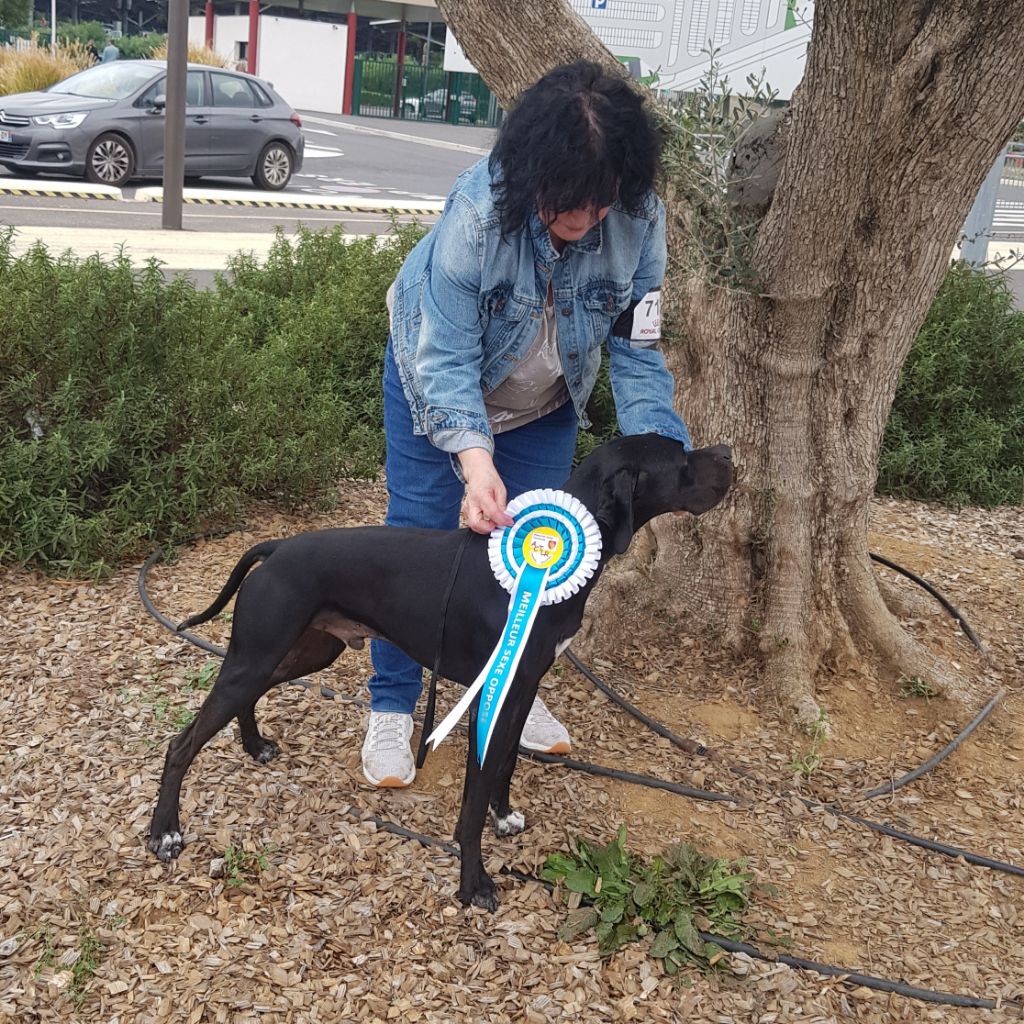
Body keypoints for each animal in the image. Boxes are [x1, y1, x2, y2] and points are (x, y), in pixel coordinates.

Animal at [148, 436, 733, 909]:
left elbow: (504, 767)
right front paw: (474, 884)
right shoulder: (490, 696)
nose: (728, 454)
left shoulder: (520, 689)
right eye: (681, 458)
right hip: (259, 656)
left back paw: (254, 745)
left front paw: (504, 816)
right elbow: (471, 801)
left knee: (243, 701)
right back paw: (165, 833)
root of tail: (277, 547)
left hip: (298, 653)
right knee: (180, 744)